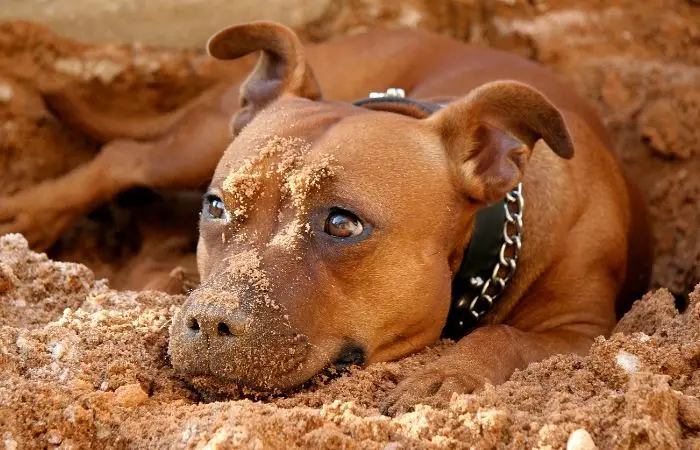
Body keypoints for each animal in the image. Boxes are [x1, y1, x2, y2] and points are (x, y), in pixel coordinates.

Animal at [2, 21, 652, 414]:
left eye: (343, 224)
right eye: (217, 206)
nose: (207, 321)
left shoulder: (587, 330)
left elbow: (505, 336)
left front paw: (449, 373)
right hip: (195, 142)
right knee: (123, 157)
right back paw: (25, 215)